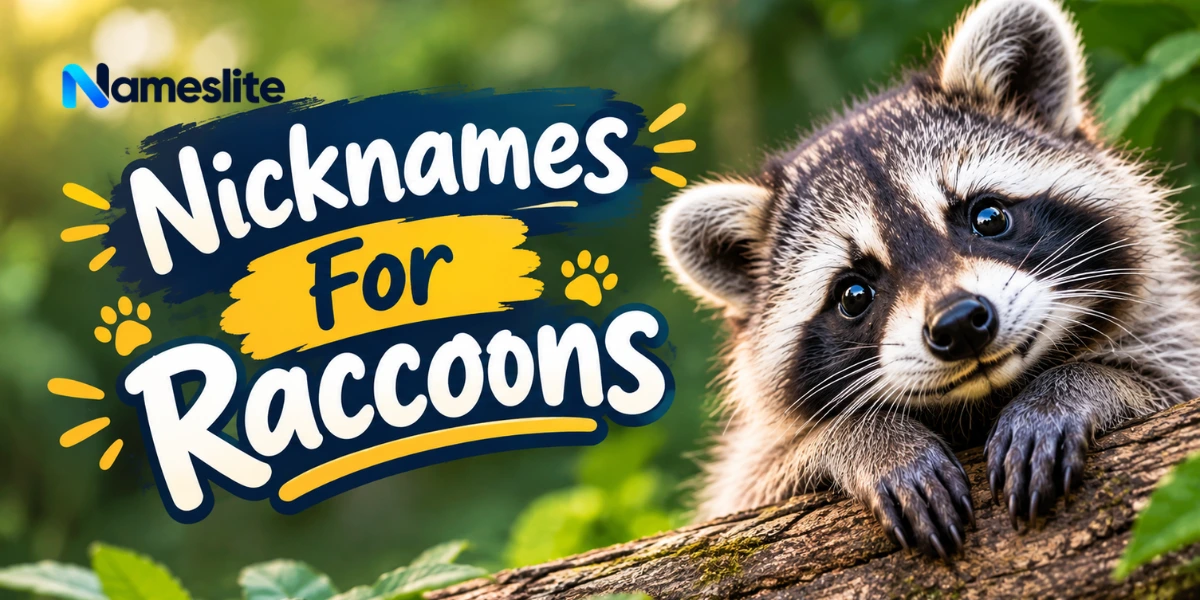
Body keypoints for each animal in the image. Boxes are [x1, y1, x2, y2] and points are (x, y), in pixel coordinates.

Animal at [655, 0, 1200, 559]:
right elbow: (757, 483)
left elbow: (1171, 379)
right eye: (854, 294)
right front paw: (862, 439)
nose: (958, 323)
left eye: (988, 217)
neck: (981, 399)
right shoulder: (745, 490)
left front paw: (1080, 384)